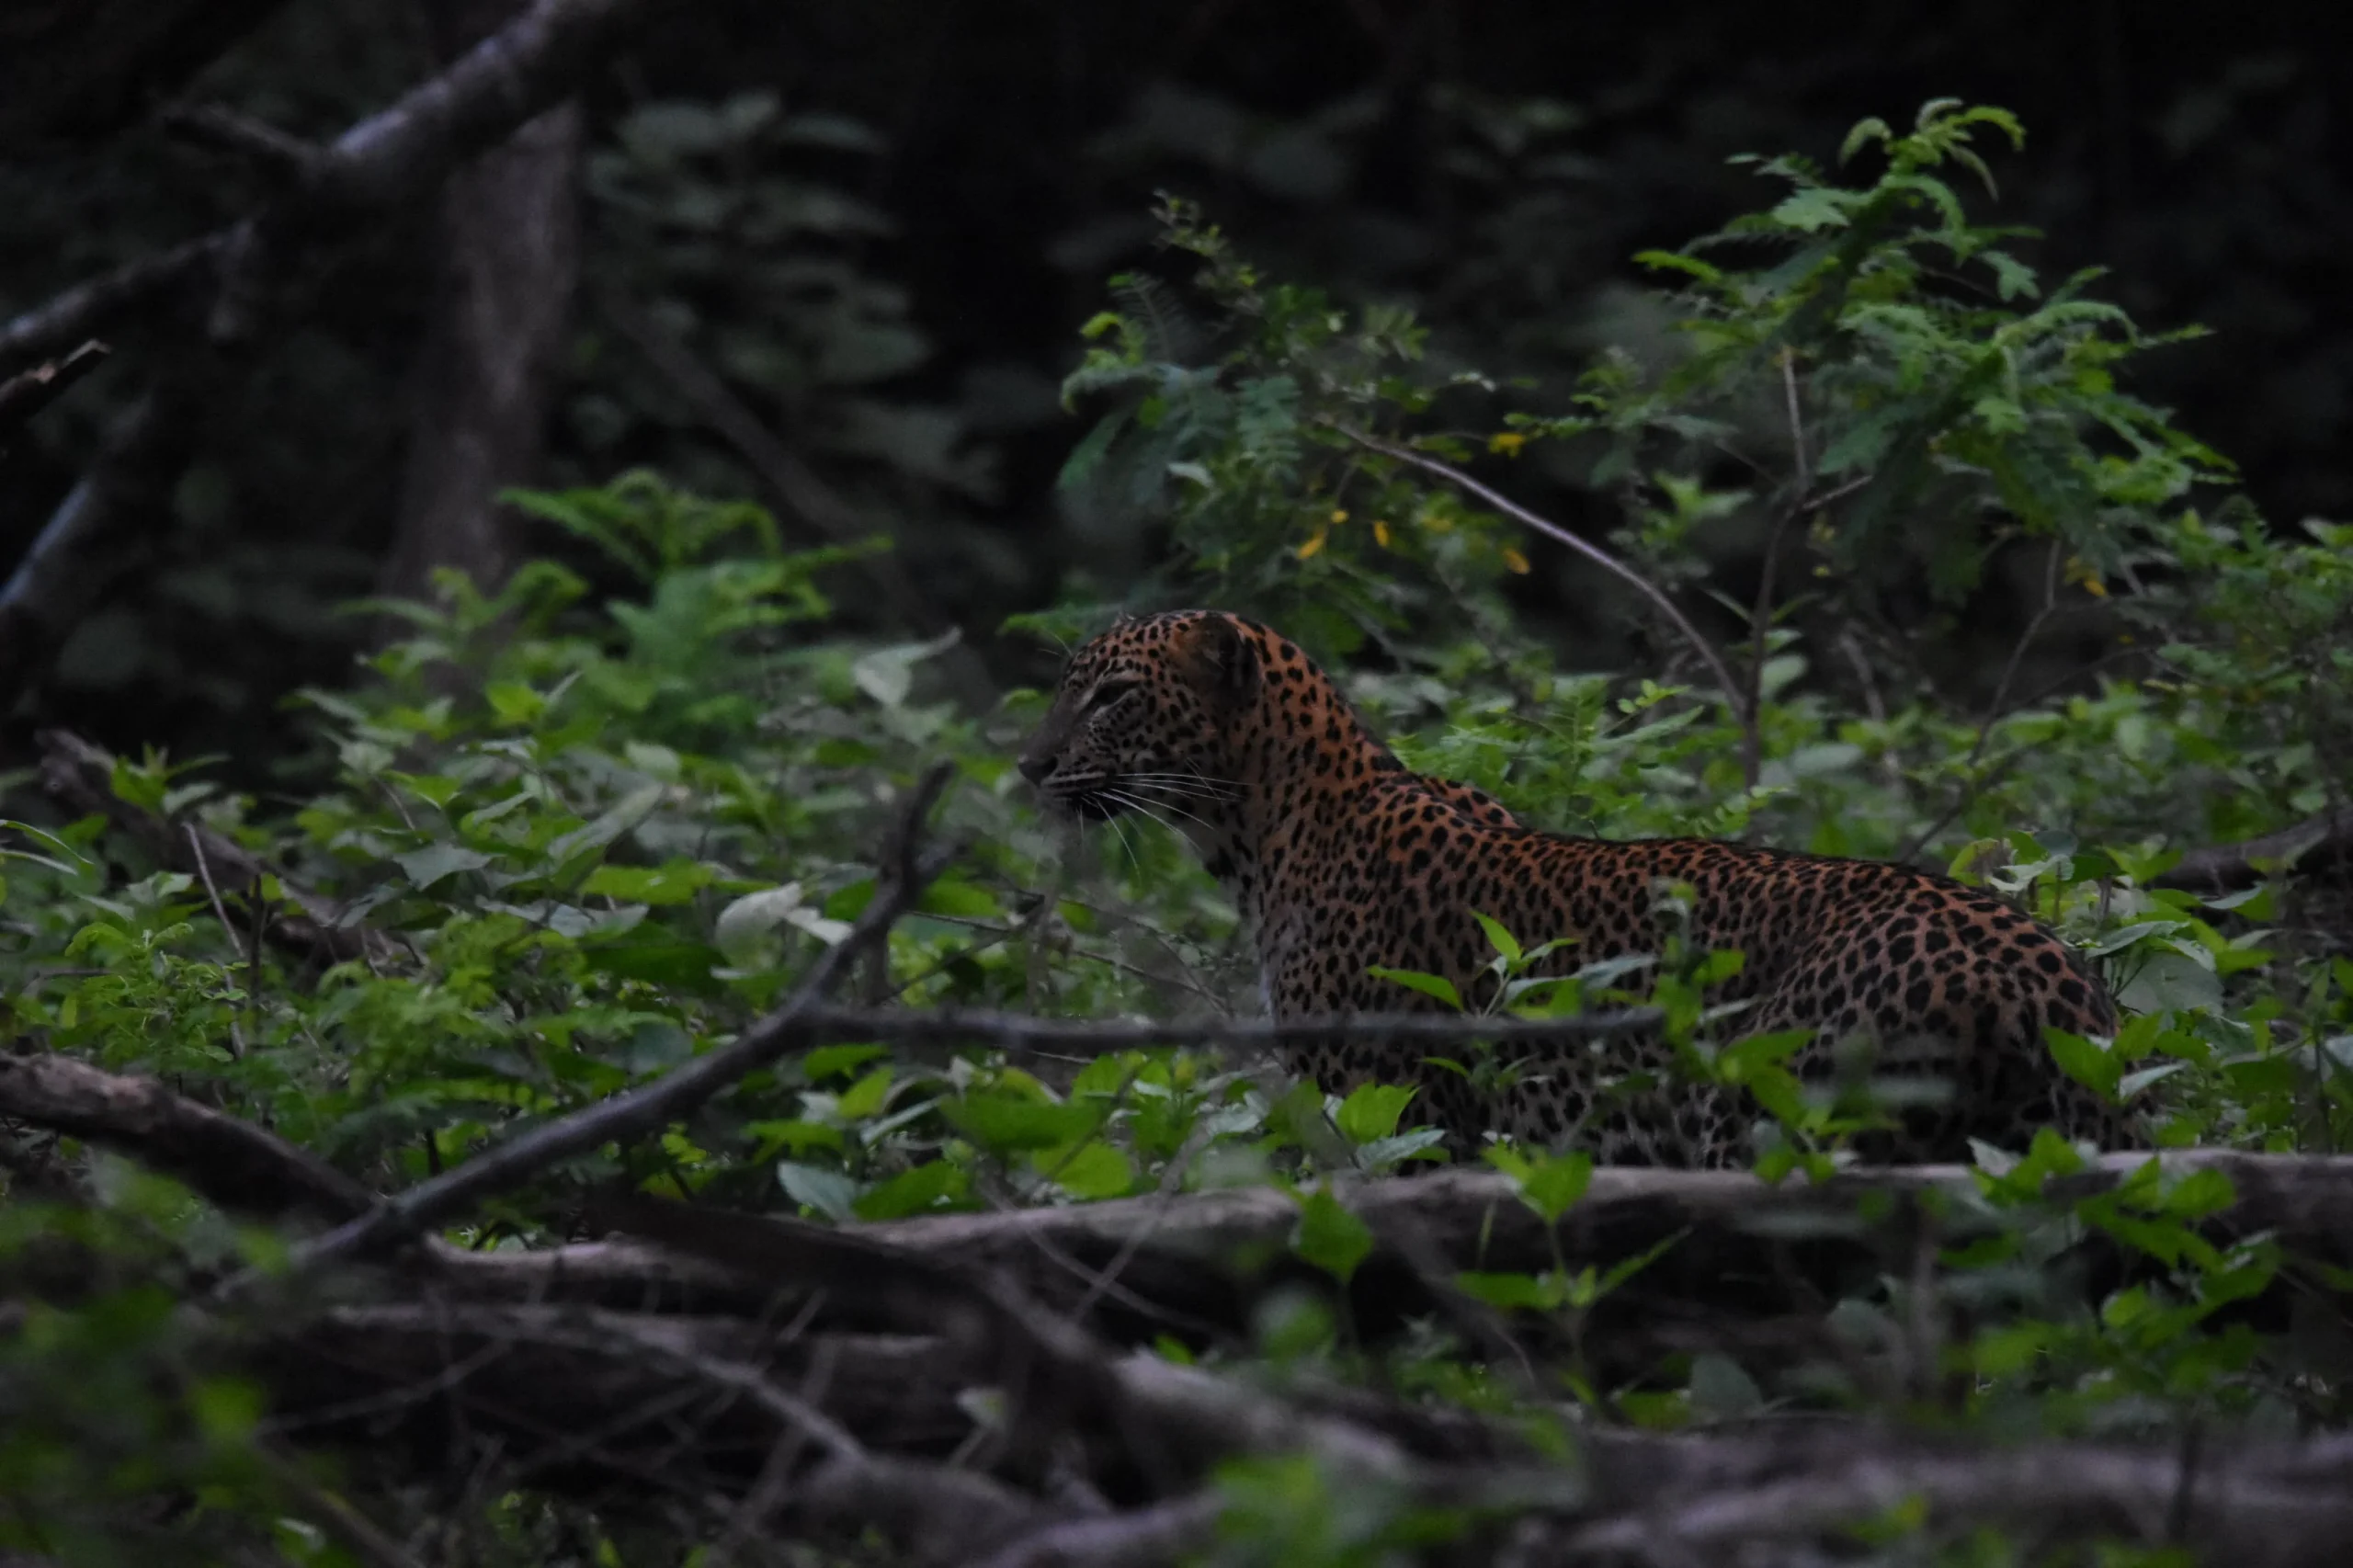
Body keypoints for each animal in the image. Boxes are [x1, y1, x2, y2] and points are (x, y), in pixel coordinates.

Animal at [1017, 608, 2132, 1167]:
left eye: (1111, 696)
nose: (1028, 765)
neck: (1264, 833)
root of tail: (2054, 986)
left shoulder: (1395, 1117)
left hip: (1768, 1125)